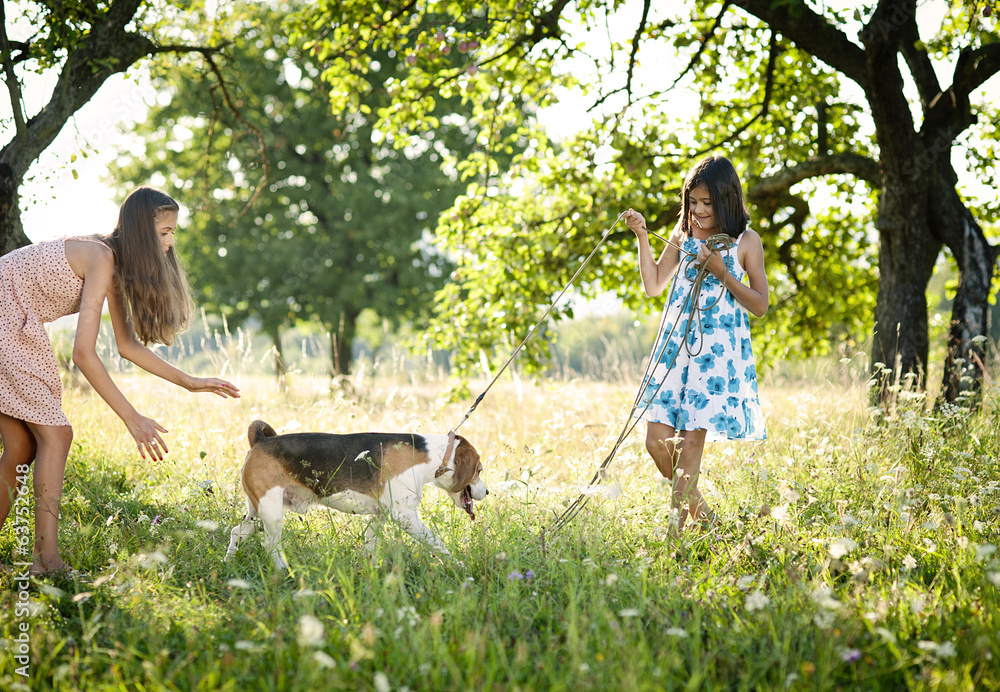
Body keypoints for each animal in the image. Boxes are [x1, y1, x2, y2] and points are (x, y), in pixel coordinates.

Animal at [228, 418, 492, 572]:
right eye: (479, 471)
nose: (487, 491)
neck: (434, 456)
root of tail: (260, 441)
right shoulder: (405, 516)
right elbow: (437, 543)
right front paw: (460, 566)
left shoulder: (380, 516)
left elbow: (370, 545)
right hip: (272, 513)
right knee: (270, 545)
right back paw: (285, 570)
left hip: (257, 512)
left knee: (237, 532)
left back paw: (228, 562)